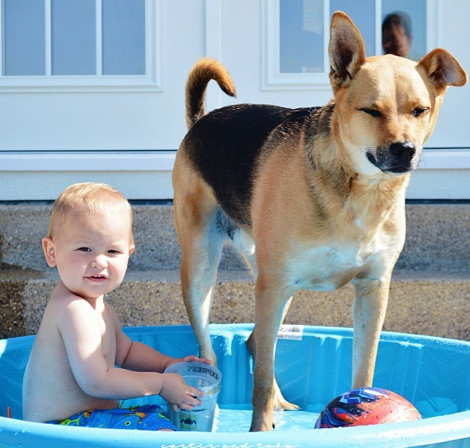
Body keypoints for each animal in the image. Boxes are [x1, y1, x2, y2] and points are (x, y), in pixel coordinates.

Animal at [172, 11, 466, 430]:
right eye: (371, 111)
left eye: (419, 110)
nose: (405, 150)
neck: (361, 193)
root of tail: (201, 121)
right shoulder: (274, 285)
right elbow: (261, 377)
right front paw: (258, 430)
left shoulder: (372, 290)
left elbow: (365, 369)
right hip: (205, 269)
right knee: (210, 354)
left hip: (271, 280)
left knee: (256, 341)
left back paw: (280, 401)